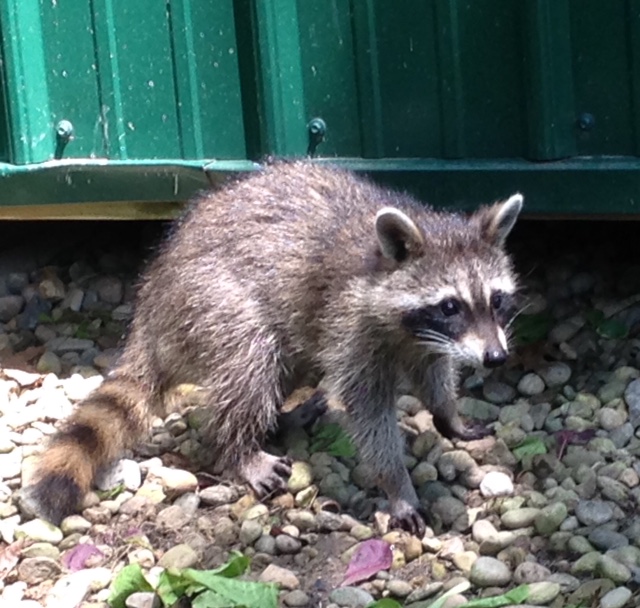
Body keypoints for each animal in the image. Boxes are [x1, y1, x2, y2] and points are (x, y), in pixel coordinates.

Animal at [27, 159, 524, 536]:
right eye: (450, 305)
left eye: (497, 300)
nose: (497, 358)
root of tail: (150, 308)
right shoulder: (351, 324)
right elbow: (369, 413)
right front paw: (396, 484)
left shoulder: (425, 342)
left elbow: (433, 373)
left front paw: (448, 415)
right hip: (209, 301)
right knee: (251, 359)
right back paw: (239, 447)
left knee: (290, 361)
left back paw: (281, 417)